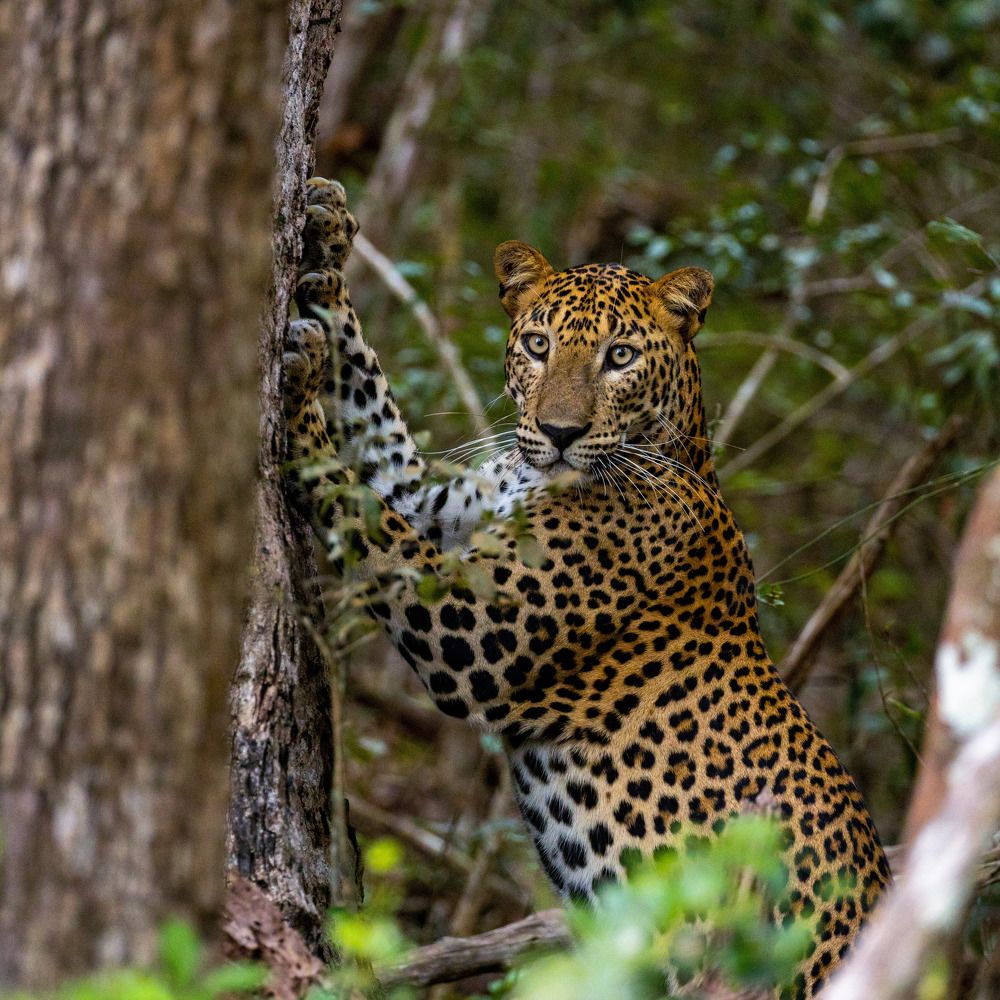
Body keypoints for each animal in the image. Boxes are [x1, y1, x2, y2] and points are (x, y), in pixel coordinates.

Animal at [282, 178, 891, 998]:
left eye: (619, 356)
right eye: (538, 345)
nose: (559, 432)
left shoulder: (473, 628)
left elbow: (361, 509)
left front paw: (296, 398)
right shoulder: (439, 508)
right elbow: (375, 421)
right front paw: (326, 239)